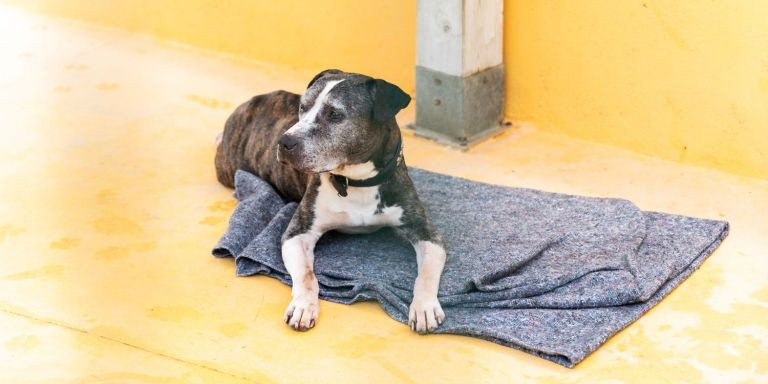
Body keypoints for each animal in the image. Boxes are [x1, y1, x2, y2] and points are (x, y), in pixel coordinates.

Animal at [213, 70, 448, 334]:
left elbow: (426, 274)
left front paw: (425, 307)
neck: (356, 183)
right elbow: (307, 275)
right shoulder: (298, 233)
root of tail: (253, 101)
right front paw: (303, 306)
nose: (285, 142)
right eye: (302, 107)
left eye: (334, 114)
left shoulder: (427, 234)